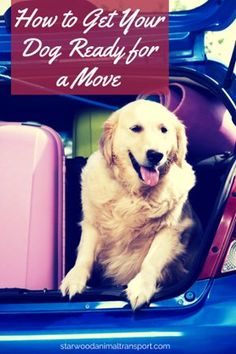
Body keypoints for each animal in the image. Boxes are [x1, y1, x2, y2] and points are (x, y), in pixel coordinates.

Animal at [60, 100, 201, 310]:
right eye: (136, 128)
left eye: (164, 130)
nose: (156, 155)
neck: (134, 193)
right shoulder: (92, 223)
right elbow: (85, 254)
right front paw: (74, 278)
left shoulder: (172, 229)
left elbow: (151, 260)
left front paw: (142, 286)